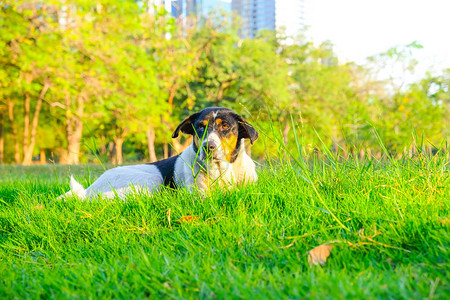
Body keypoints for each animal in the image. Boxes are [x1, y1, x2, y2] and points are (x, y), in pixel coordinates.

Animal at [63, 106, 260, 200]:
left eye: (225, 126)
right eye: (199, 127)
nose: (207, 146)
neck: (221, 170)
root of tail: (88, 191)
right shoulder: (198, 194)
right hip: (153, 179)